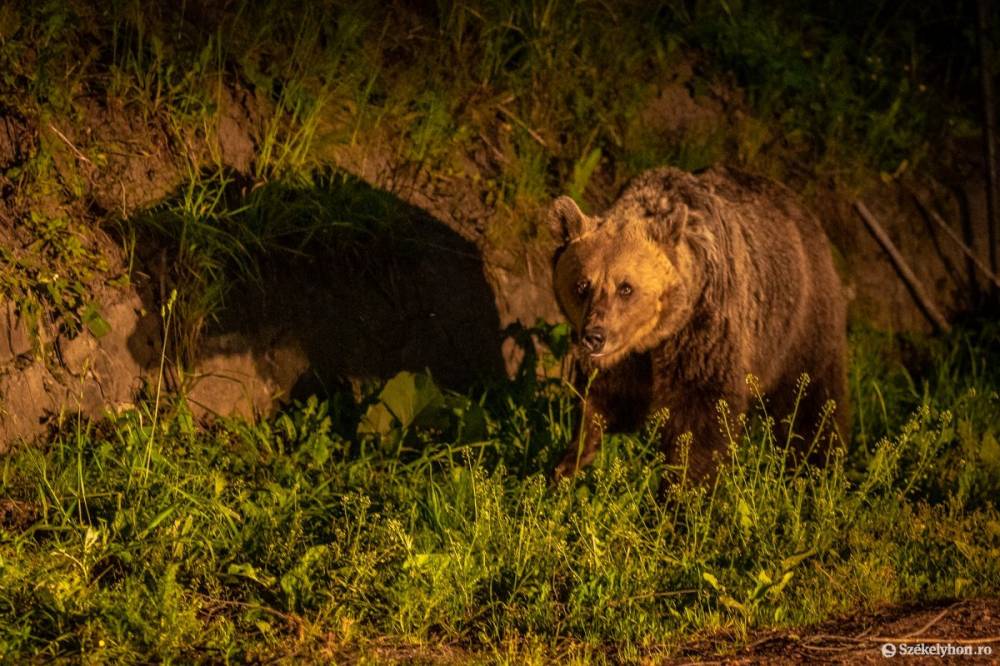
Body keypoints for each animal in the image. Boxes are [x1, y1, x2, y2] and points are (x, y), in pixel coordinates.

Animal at [552, 165, 848, 478]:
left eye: (626, 288)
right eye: (582, 285)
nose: (595, 336)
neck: (657, 334)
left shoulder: (703, 328)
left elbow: (702, 411)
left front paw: (682, 483)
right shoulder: (628, 357)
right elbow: (607, 399)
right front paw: (569, 461)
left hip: (800, 318)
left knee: (812, 397)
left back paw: (816, 464)